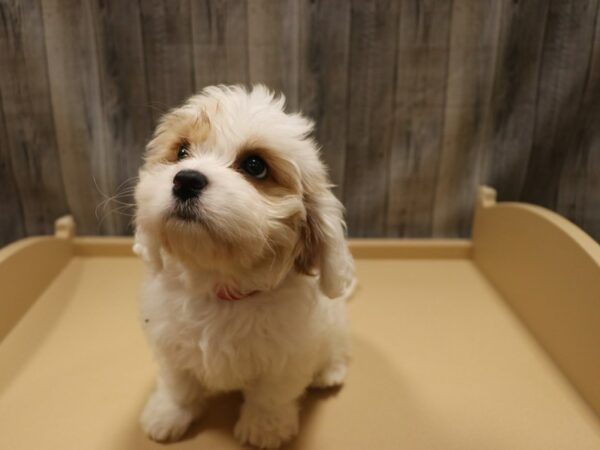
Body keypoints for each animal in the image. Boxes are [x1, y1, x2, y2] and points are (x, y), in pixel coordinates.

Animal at [134, 85, 354, 450]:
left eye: (255, 166)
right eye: (181, 151)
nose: (186, 180)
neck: (222, 287)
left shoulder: (287, 356)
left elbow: (270, 394)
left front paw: (264, 428)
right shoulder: (171, 341)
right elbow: (179, 383)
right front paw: (168, 414)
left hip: (333, 326)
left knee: (335, 349)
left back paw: (329, 372)